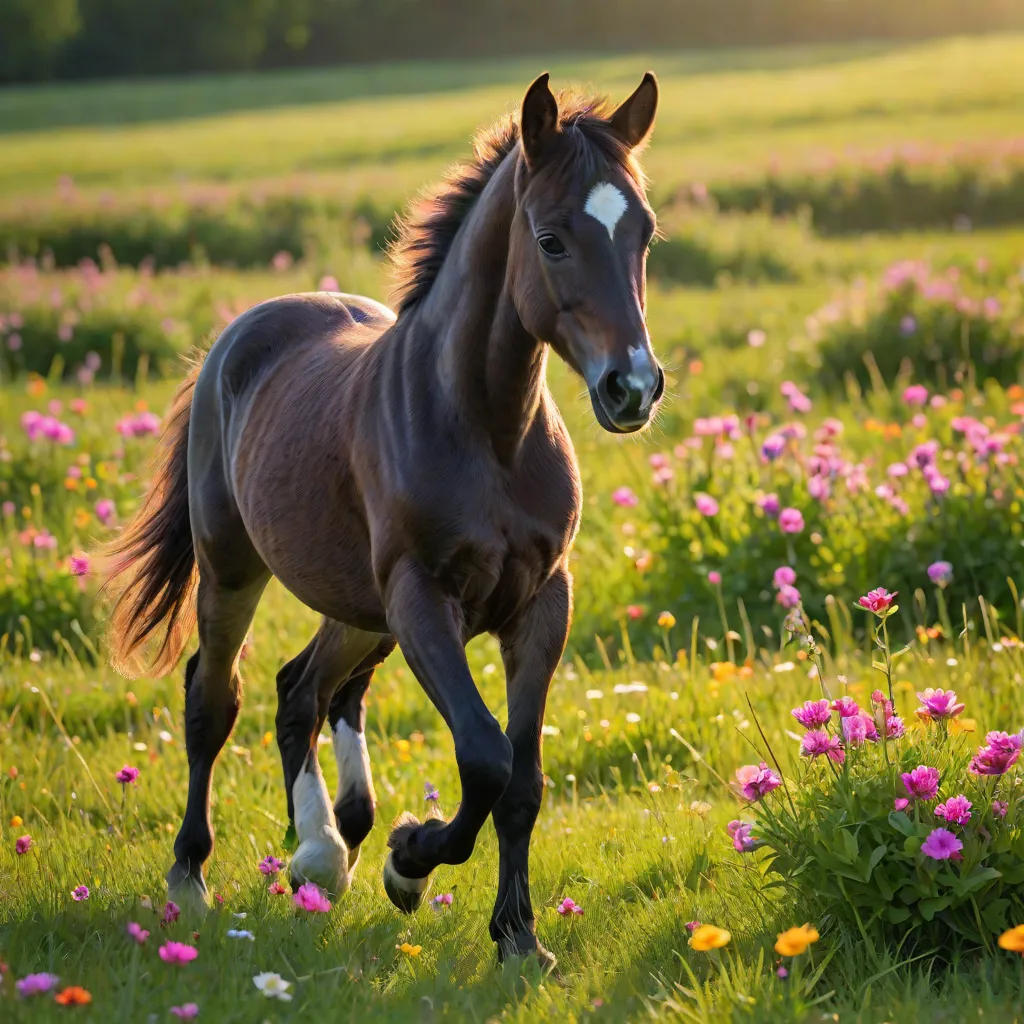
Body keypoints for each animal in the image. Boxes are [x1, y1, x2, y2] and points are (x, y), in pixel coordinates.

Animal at [102, 71, 663, 968]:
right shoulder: (421, 597)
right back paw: (203, 874)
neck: (486, 430)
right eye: (550, 240)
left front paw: (518, 937)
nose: (633, 388)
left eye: (643, 233)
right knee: (213, 699)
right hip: (237, 571)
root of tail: (240, 335)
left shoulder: (542, 603)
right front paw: (409, 859)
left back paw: (323, 852)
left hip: (357, 609)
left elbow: (524, 778)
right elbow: (485, 756)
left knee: (305, 689)